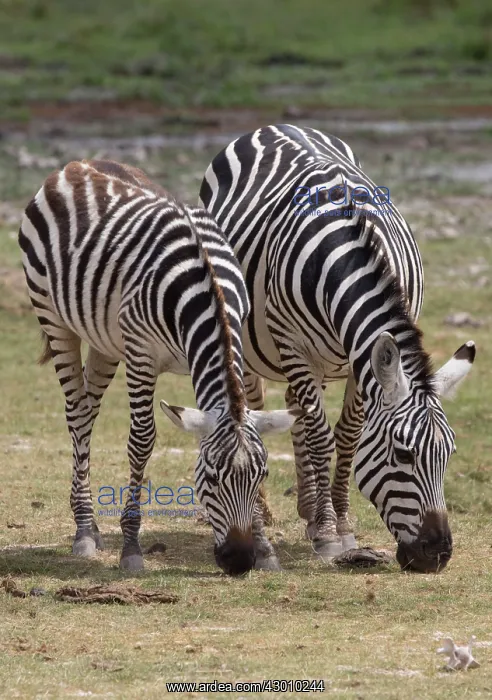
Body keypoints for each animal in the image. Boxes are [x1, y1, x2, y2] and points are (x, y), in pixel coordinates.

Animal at [18, 159, 301, 576]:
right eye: (210, 476)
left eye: (262, 475)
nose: (238, 561)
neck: (208, 291)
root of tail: (77, 165)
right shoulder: (141, 355)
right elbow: (141, 440)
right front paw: (131, 546)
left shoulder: (239, 342)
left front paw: (266, 549)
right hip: (54, 318)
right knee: (76, 413)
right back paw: (84, 530)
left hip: (105, 339)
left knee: (88, 409)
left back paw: (90, 526)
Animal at [199, 124, 475, 573]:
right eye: (403, 454)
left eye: (448, 452)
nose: (438, 556)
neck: (342, 254)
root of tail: (276, 126)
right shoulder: (294, 344)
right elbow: (319, 437)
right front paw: (329, 533)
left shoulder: (359, 359)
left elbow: (347, 435)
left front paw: (339, 522)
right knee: (259, 405)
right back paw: (267, 512)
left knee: (295, 406)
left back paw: (309, 509)